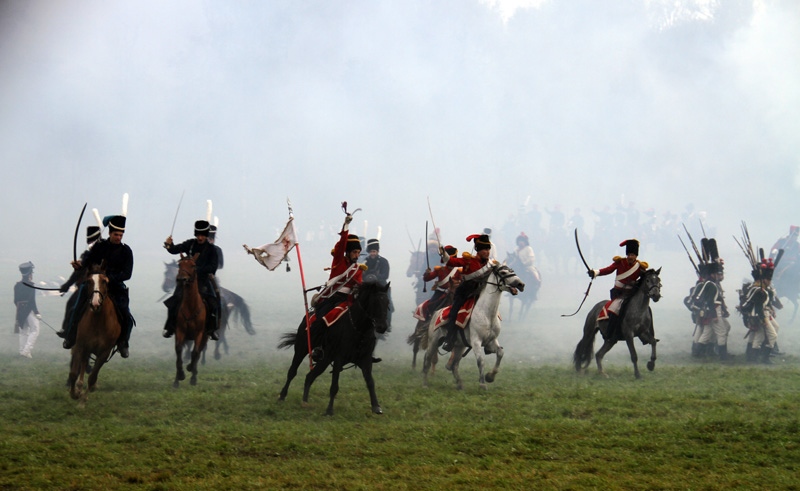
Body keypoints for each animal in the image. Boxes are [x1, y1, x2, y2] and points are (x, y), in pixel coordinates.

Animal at [67, 268, 121, 406]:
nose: (95, 303)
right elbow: (74, 373)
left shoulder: (104, 353)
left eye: (105, 281)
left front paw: (82, 401)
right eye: (89, 281)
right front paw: (74, 394)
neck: (98, 321)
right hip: (85, 349)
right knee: (83, 364)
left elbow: (92, 377)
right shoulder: (80, 346)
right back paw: (79, 388)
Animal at [173, 254, 209, 388]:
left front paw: (191, 372)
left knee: (199, 352)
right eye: (179, 264)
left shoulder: (199, 332)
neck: (191, 306)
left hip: (205, 335)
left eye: (193, 265)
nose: (181, 279)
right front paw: (179, 376)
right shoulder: (180, 330)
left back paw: (193, 373)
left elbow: (195, 352)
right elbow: (178, 350)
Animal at [276, 282, 392, 418]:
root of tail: (307, 316)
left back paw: (304, 401)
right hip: (301, 349)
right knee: (292, 372)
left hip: (325, 359)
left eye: (387, 303)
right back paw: (282, 396)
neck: (358, 327)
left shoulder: (365, 359)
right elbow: (334, 386)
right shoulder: (338, 358)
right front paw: (329, 410)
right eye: (374, 302)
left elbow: (370, 382)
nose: (382, 327)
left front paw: (376, 407)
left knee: (310, 376)